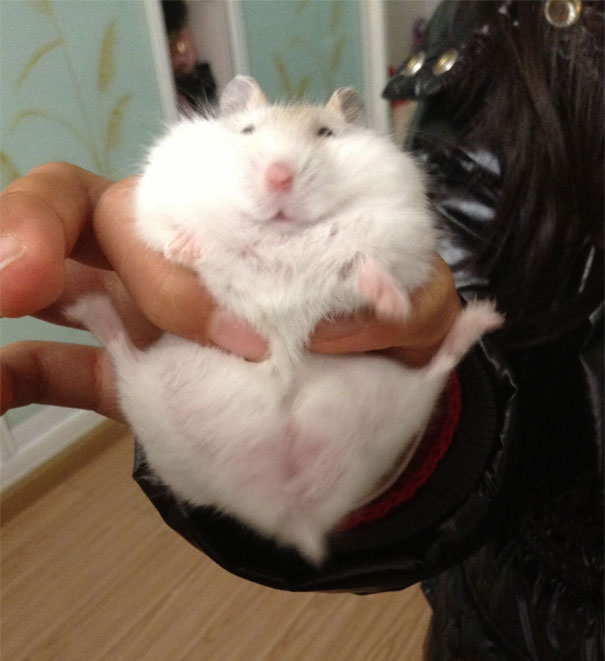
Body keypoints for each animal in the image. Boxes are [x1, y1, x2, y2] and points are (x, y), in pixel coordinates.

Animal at [68, 76, 502, 565]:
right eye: (248, 131)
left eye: (326, 134)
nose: (279, 176)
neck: (282, 233)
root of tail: (293, 511)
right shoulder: (160, 198)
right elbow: (175, 233)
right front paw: (188, 248)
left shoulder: (401, 231)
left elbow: (370, 261)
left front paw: (393, 307)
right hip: (152, 403)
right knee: (124, 352)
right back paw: (90, 307)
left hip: (400, 402)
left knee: (436, 368)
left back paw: (482, 317)